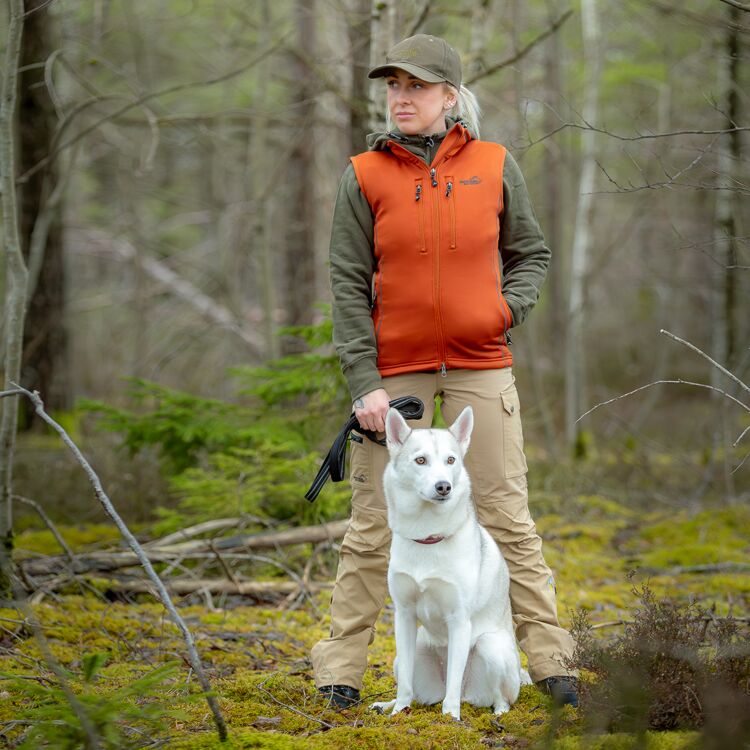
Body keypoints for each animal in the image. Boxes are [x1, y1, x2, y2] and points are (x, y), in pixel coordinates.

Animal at [370, 412, 528, 724]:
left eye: (451, 460)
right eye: (420, 460)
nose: (444, 486)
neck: (428, 536)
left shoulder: (459, 620)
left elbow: (454, 681)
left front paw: (450, 718)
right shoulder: (404, 615)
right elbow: (405, 683)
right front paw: (398, 711)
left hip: (491, 649)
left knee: (496, 696)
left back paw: (497, 712)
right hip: (408, 654)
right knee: (414, 686)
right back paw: (388, 705)